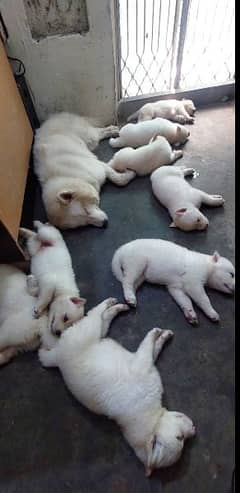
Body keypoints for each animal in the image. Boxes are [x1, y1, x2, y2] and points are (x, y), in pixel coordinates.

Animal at [39, 298, 196, 474]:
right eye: (180, 438)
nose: (194, 428)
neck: (151, 416)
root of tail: (56, 358)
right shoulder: (141, 364)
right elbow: (148, 346)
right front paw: (156, 333)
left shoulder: (143, 363)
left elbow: (153, 349)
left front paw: (162, 336)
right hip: (87, 331)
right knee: (94, 314)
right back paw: (110, 303)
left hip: (96, 335)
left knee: (103, 319)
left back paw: (116, 307)